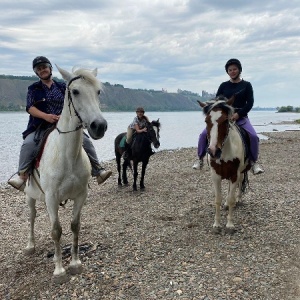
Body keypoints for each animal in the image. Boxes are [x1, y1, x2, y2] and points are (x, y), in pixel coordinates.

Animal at [23, 66, 108, 284]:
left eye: (98, 92)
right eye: (75, 91)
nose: (99, 126)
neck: (66, 156)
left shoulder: (80, 196)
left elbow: (75, 226)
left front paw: (75, 264)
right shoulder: (52, 198)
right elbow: (56, 231)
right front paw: (59, 270)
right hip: (30, 196)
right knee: (32, 217)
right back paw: (30, 246)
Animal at [199, 96, 251, 234]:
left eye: (225, 121)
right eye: (206, 121)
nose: (213, 151)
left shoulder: (234, 174)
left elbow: (231, 198)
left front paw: (230, 224)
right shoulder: (215, 176)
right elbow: (218, 199)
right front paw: (216, 224)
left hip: (241, 171)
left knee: (240, 183)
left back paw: (238, 199)